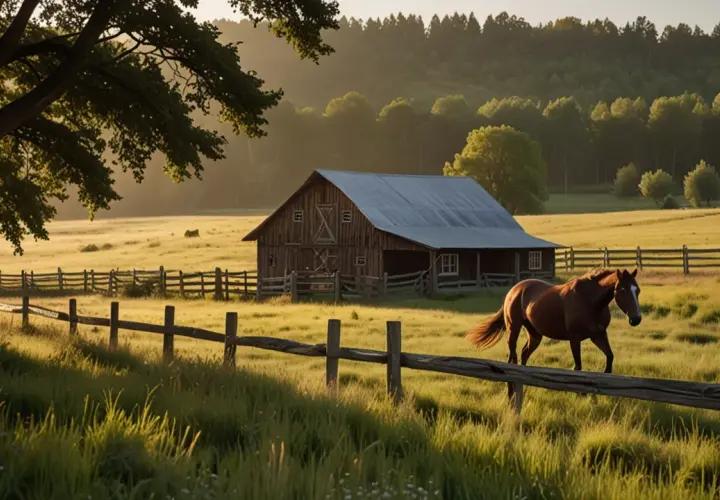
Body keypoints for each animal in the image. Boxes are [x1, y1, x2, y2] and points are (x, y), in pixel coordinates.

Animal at [467, 268, 642, 400]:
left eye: (638, 290)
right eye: (622, 289)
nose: (636, 319)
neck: (589, 302)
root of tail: (513, 290)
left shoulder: (598, 335)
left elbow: (610, 357)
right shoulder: (575, 338)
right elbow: (578, 367)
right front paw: (581, 394)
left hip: (535, 334)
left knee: (524, 355)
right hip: (513, 329)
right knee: (512, 359)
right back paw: (511, 393)